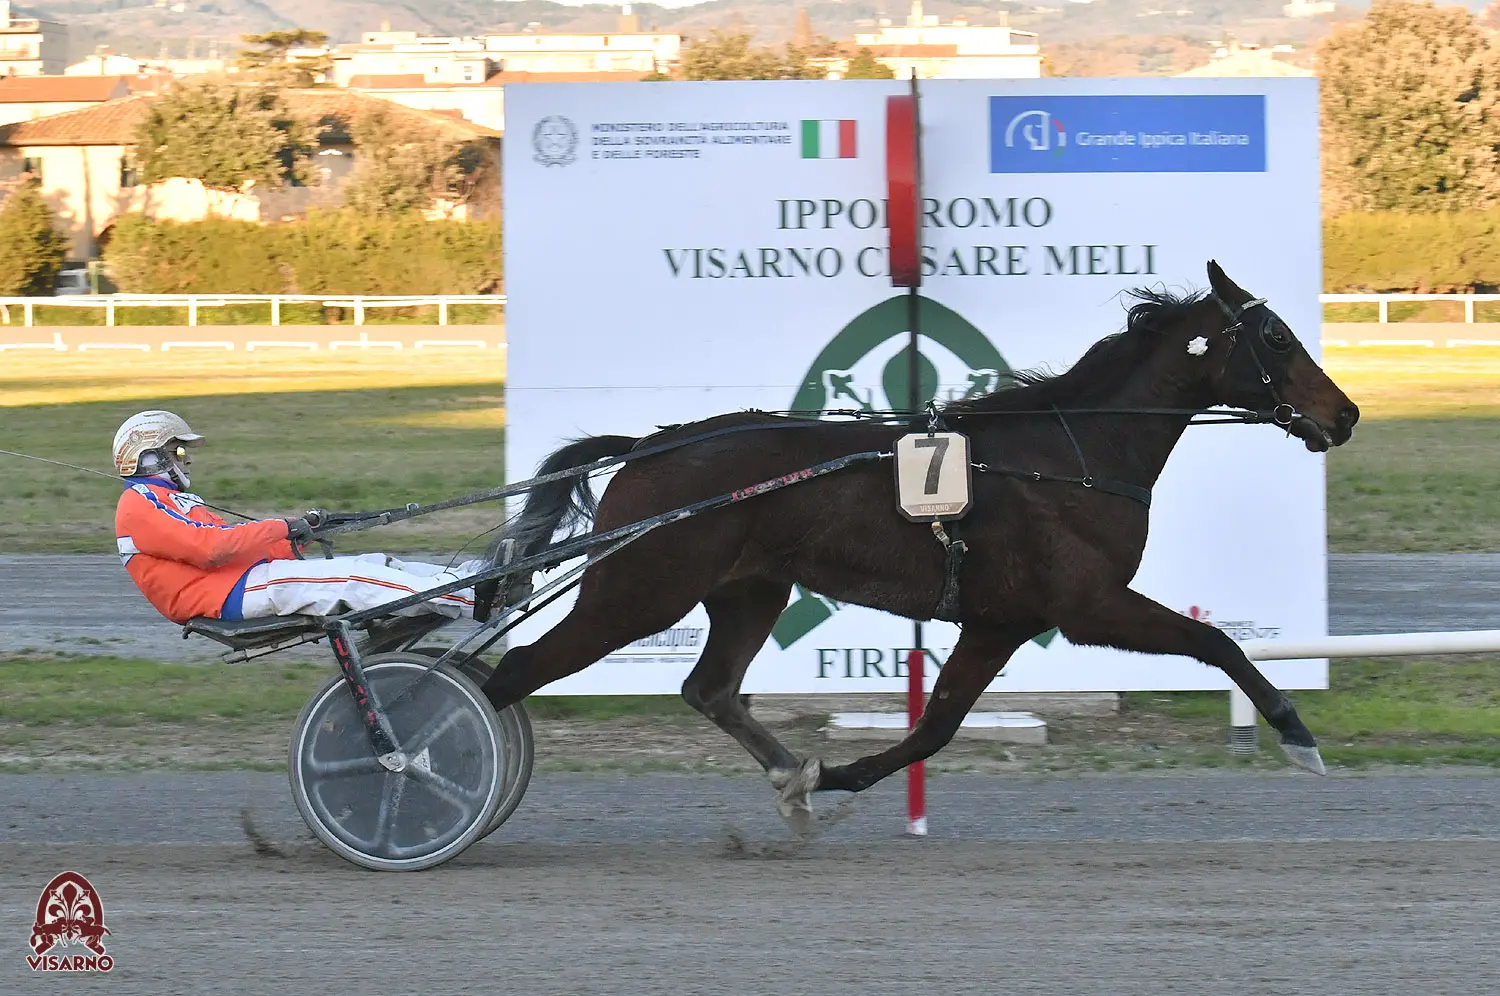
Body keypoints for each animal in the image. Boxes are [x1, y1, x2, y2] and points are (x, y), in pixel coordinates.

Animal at [480, 262, 1362, 822]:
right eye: (1277, 339)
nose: (1345, 413)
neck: (1070, 453)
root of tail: (646, 447)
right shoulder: (1087, 602)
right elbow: (1217, 642)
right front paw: (1295, 733)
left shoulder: (1001, 619)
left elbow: (935, 726)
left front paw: (830, 776)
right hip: (638, 591)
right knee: (513, 673)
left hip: (749, 589)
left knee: (711, 688)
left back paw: (788, 769)